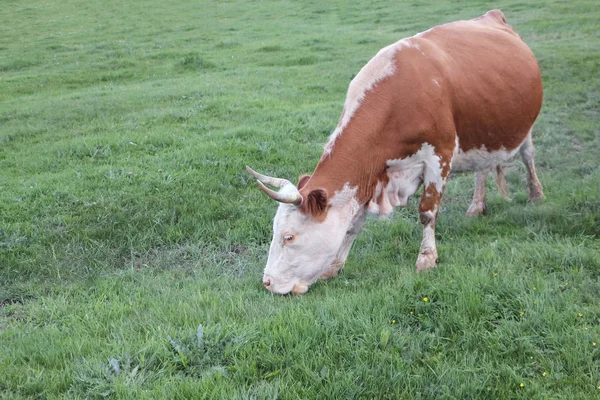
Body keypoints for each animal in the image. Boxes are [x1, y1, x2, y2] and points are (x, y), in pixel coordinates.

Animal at [246, 10, 548, 296]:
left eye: (289, 237)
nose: (267, 282)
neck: (397, 101)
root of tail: (492, 15)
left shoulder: (439, 156)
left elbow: (427, 211)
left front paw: (426, 258)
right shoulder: (372, 174)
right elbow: (353, 223)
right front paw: (334, 267)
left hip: (526, 125)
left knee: (528, 156)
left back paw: (536, 194)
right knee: (483, 167)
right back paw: (477, 206)